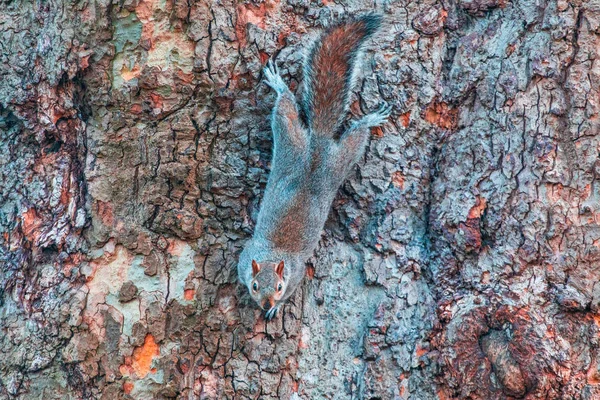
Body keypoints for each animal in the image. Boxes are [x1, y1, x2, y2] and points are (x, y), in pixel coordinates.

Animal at [237, 15, 392, 320]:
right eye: (255, 285)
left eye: (280, 287)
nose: (267, 304)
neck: (274, 255)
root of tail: (318, 142)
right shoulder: (246, 257)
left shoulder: (296, 275)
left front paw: (277, 309)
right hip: (293, 139)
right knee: (286, 107)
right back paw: (278, 83)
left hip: (338, 159)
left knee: (353, 135)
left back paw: (369, 119)